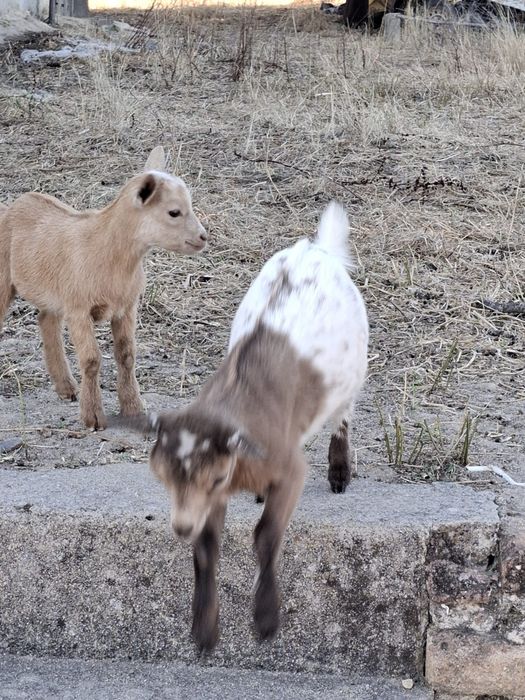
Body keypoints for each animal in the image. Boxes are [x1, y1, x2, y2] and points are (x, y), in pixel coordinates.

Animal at [0, 147, 207, 429]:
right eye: (174, 212)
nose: (203, 237)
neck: (108, 253)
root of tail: (15, 205)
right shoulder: (79, 309)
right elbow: (91, 359)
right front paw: (93, 418)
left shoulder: (126, 308)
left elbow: (126, 355)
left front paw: (132, 408)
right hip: (5, 278)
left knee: (46, 320)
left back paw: (66, 388)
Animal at [111, 201, 368, 650]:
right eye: (163, 477)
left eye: (214, 477)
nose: (180, 527)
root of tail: (317, 249)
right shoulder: (207, 498)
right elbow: (206, 548)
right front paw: (204, 630)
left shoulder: (287, 468)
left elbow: (266, 535)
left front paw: (265, 620)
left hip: (353, 365)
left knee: (344, 411)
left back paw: (339, 470)